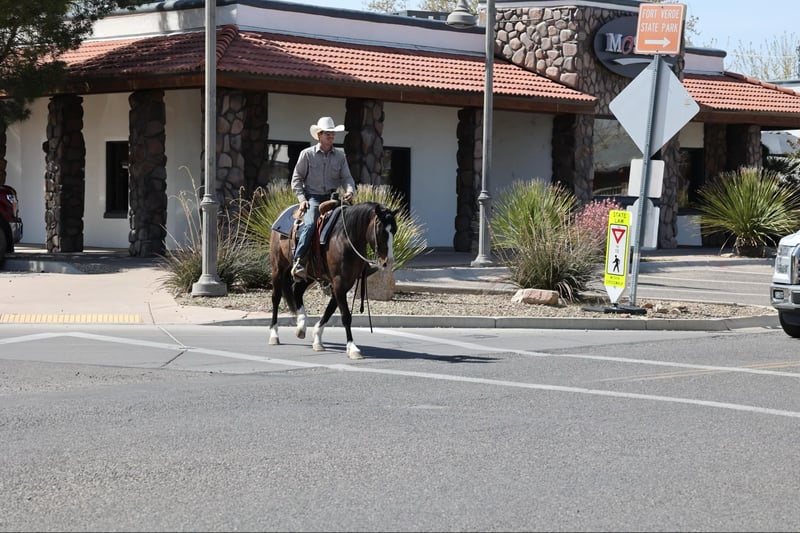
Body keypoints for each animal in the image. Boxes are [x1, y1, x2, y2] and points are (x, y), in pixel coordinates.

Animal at [268, 201, 399, 359]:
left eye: (395, 230)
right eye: (381, 230)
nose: (389, 262)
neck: (345, 238)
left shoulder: (346, 283)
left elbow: (330, 310)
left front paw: (317, 339)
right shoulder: (338, 282)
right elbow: (345, 316)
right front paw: (352, 348)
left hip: (309, 274)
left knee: (296, 291)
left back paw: (301, 327)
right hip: (278, 268)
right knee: (276, 298)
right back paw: (274, 334)